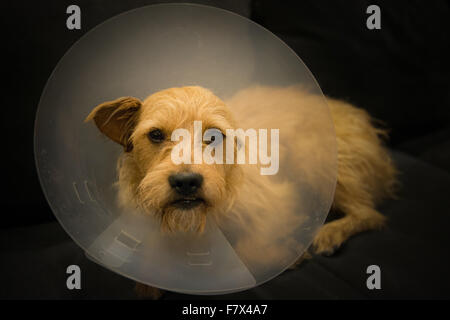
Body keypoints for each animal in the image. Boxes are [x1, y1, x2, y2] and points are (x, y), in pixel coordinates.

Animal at [85, 84, 398, 298]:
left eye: (213, 136)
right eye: (156, 135)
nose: (186, 181)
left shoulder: (281, 204)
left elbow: (252, 250)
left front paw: (288, 254)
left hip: (322, 164)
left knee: (370, 214)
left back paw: (331, 232)